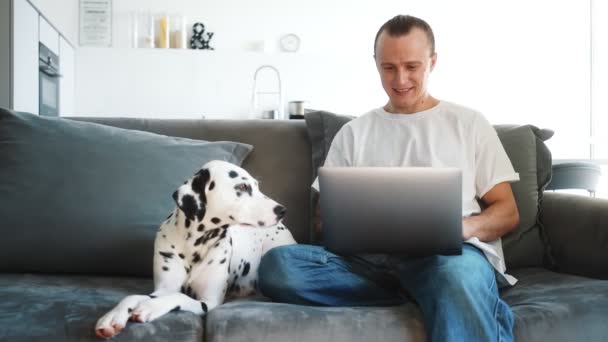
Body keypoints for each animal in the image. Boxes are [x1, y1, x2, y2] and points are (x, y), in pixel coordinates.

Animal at [94, 160, 296, 340]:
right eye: (243, 186)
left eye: (256, 186)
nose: (282, 210)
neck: (194, 246)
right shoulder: (164, 288)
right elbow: (135, 296)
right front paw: (113, 316)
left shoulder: (208, 302)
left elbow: (178, 297)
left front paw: (150, 307)